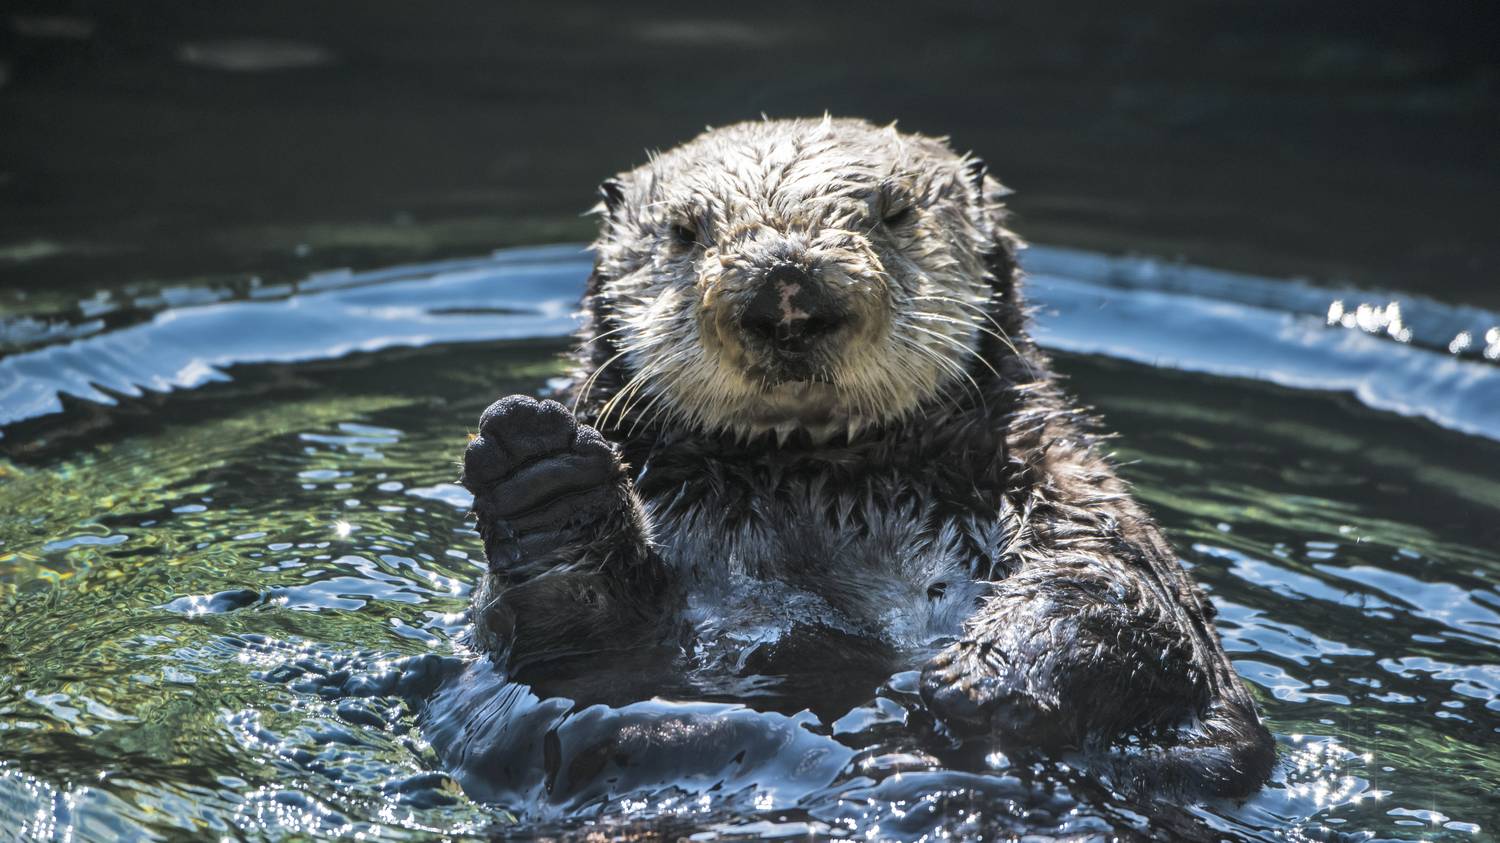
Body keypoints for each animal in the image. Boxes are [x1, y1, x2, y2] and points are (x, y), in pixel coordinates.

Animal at [459, 116, 1278, 792]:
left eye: (896, 212)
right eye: (685, 230)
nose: (785, 285)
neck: (812, 477)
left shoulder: (1066, 485)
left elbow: (1122, 592)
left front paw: (984, 676)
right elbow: (562, 643)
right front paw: (544, 483)